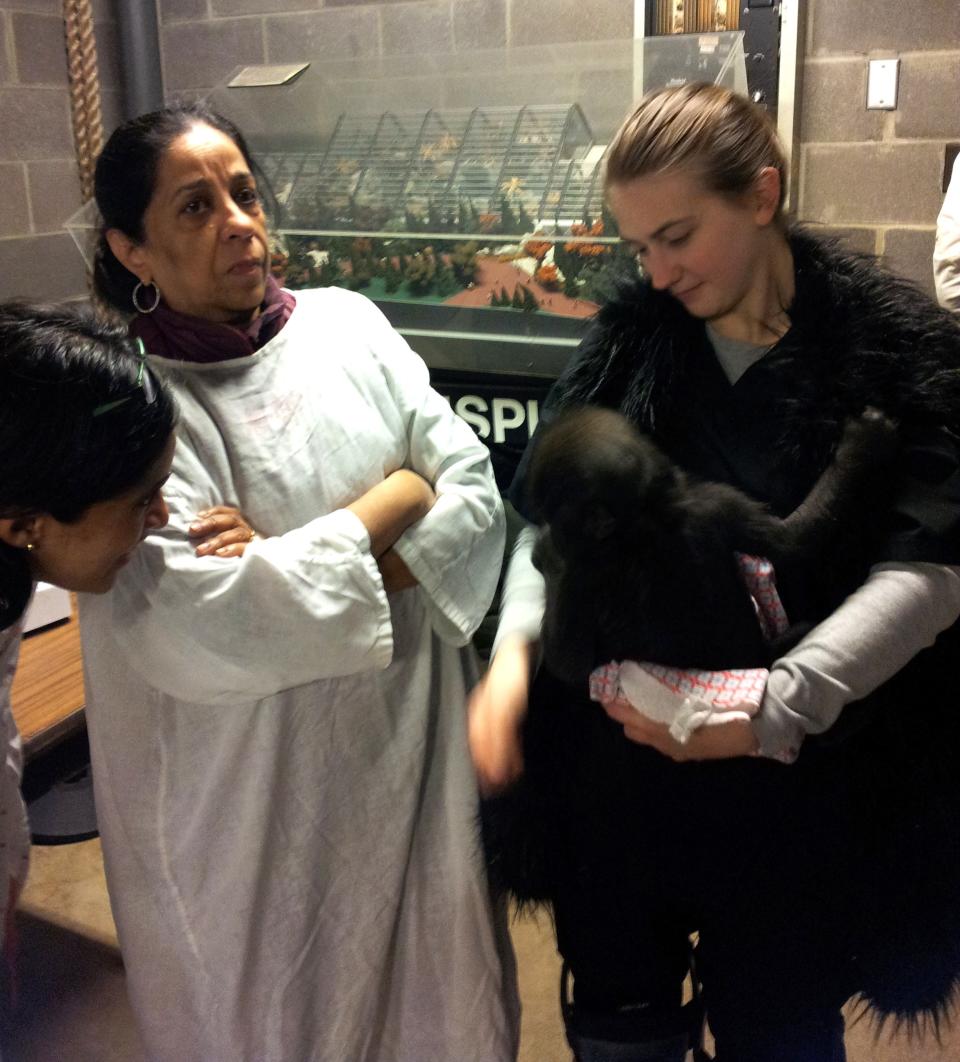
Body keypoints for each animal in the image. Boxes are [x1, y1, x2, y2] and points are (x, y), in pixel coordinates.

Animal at [528, 401, 896, 683]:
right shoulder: (718, 502)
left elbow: (568, 662)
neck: (646, 513)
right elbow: (795, 539)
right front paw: (863, 443)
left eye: (551, 513)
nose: (549, 533)